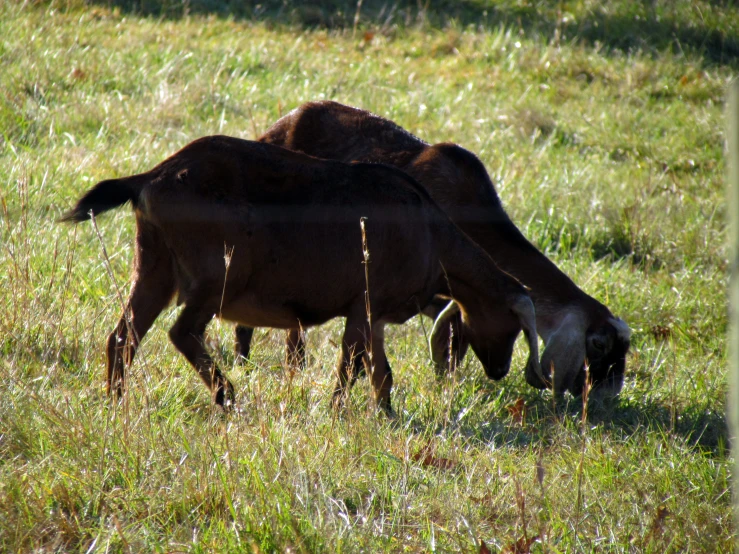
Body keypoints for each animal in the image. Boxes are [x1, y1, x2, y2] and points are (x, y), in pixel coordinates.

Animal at [60, 134, 540, 410]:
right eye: (514, 326)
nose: (500, 371)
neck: (431, 239)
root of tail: (151, 177)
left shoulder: (375, 315)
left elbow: (381, 374)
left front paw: (387, 414)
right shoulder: (363, 306)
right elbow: (351, 366)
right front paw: (337, 412)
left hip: (155, 267)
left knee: (122, 336)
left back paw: (115, 402)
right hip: (220, 272)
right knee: (182, 331)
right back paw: (226, 394)